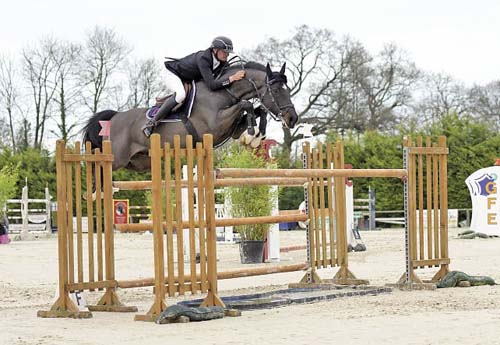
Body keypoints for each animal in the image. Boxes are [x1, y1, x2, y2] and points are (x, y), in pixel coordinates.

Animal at [83, 61, 296, 171]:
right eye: (276, 91)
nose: (292, 119)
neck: (223, 91)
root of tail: (115, 117)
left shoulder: (231, 127)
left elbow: (258, 110)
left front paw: (256, 136)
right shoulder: (216, 124)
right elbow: (247, 105)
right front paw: (252, 133)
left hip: (139, 162)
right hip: (116, 159)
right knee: (99, 169)